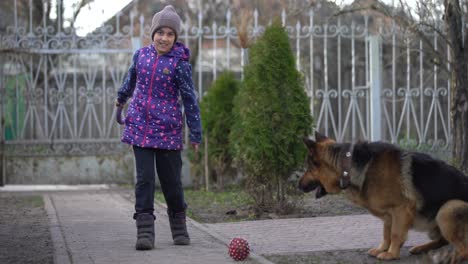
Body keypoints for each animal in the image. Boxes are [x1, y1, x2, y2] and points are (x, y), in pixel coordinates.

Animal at [298, 132, 468, 262]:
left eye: (308, 168)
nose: (298, 186)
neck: (349, 166)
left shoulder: (401, 209)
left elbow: (395, 233)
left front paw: (392, 254)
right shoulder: (388, 215)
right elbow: (386, 233)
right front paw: (383, 248)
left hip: (448, 208)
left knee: (463, 250)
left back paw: (450, 258)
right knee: (442, 241)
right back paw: (422, 248)